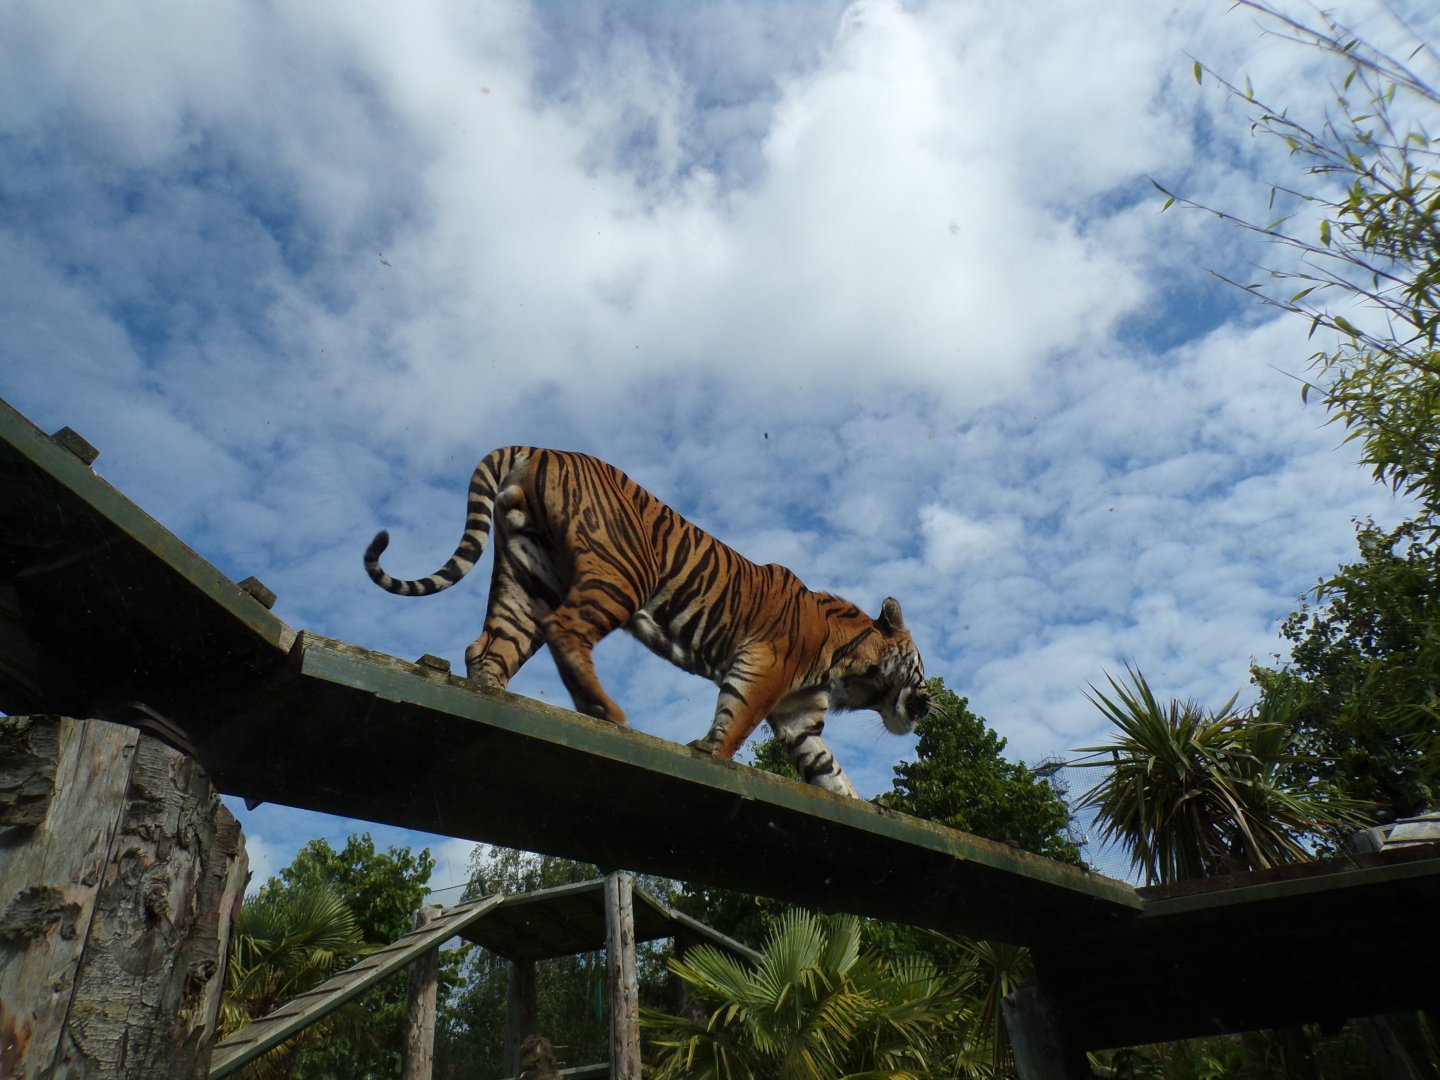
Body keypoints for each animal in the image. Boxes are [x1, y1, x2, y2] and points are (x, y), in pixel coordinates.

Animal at [364, 446, 931, 798]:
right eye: (923, 670)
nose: (930, 705)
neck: (848, 673)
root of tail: (539, 447)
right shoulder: (762, 668)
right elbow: (733, 723)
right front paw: (710, 752)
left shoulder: (800, 717)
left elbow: (829, 771)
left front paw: (861, 805)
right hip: (621, 573)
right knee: (565, 630)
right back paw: (606, 712)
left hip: (527, 576)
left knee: (488, 646)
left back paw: (493, 694)